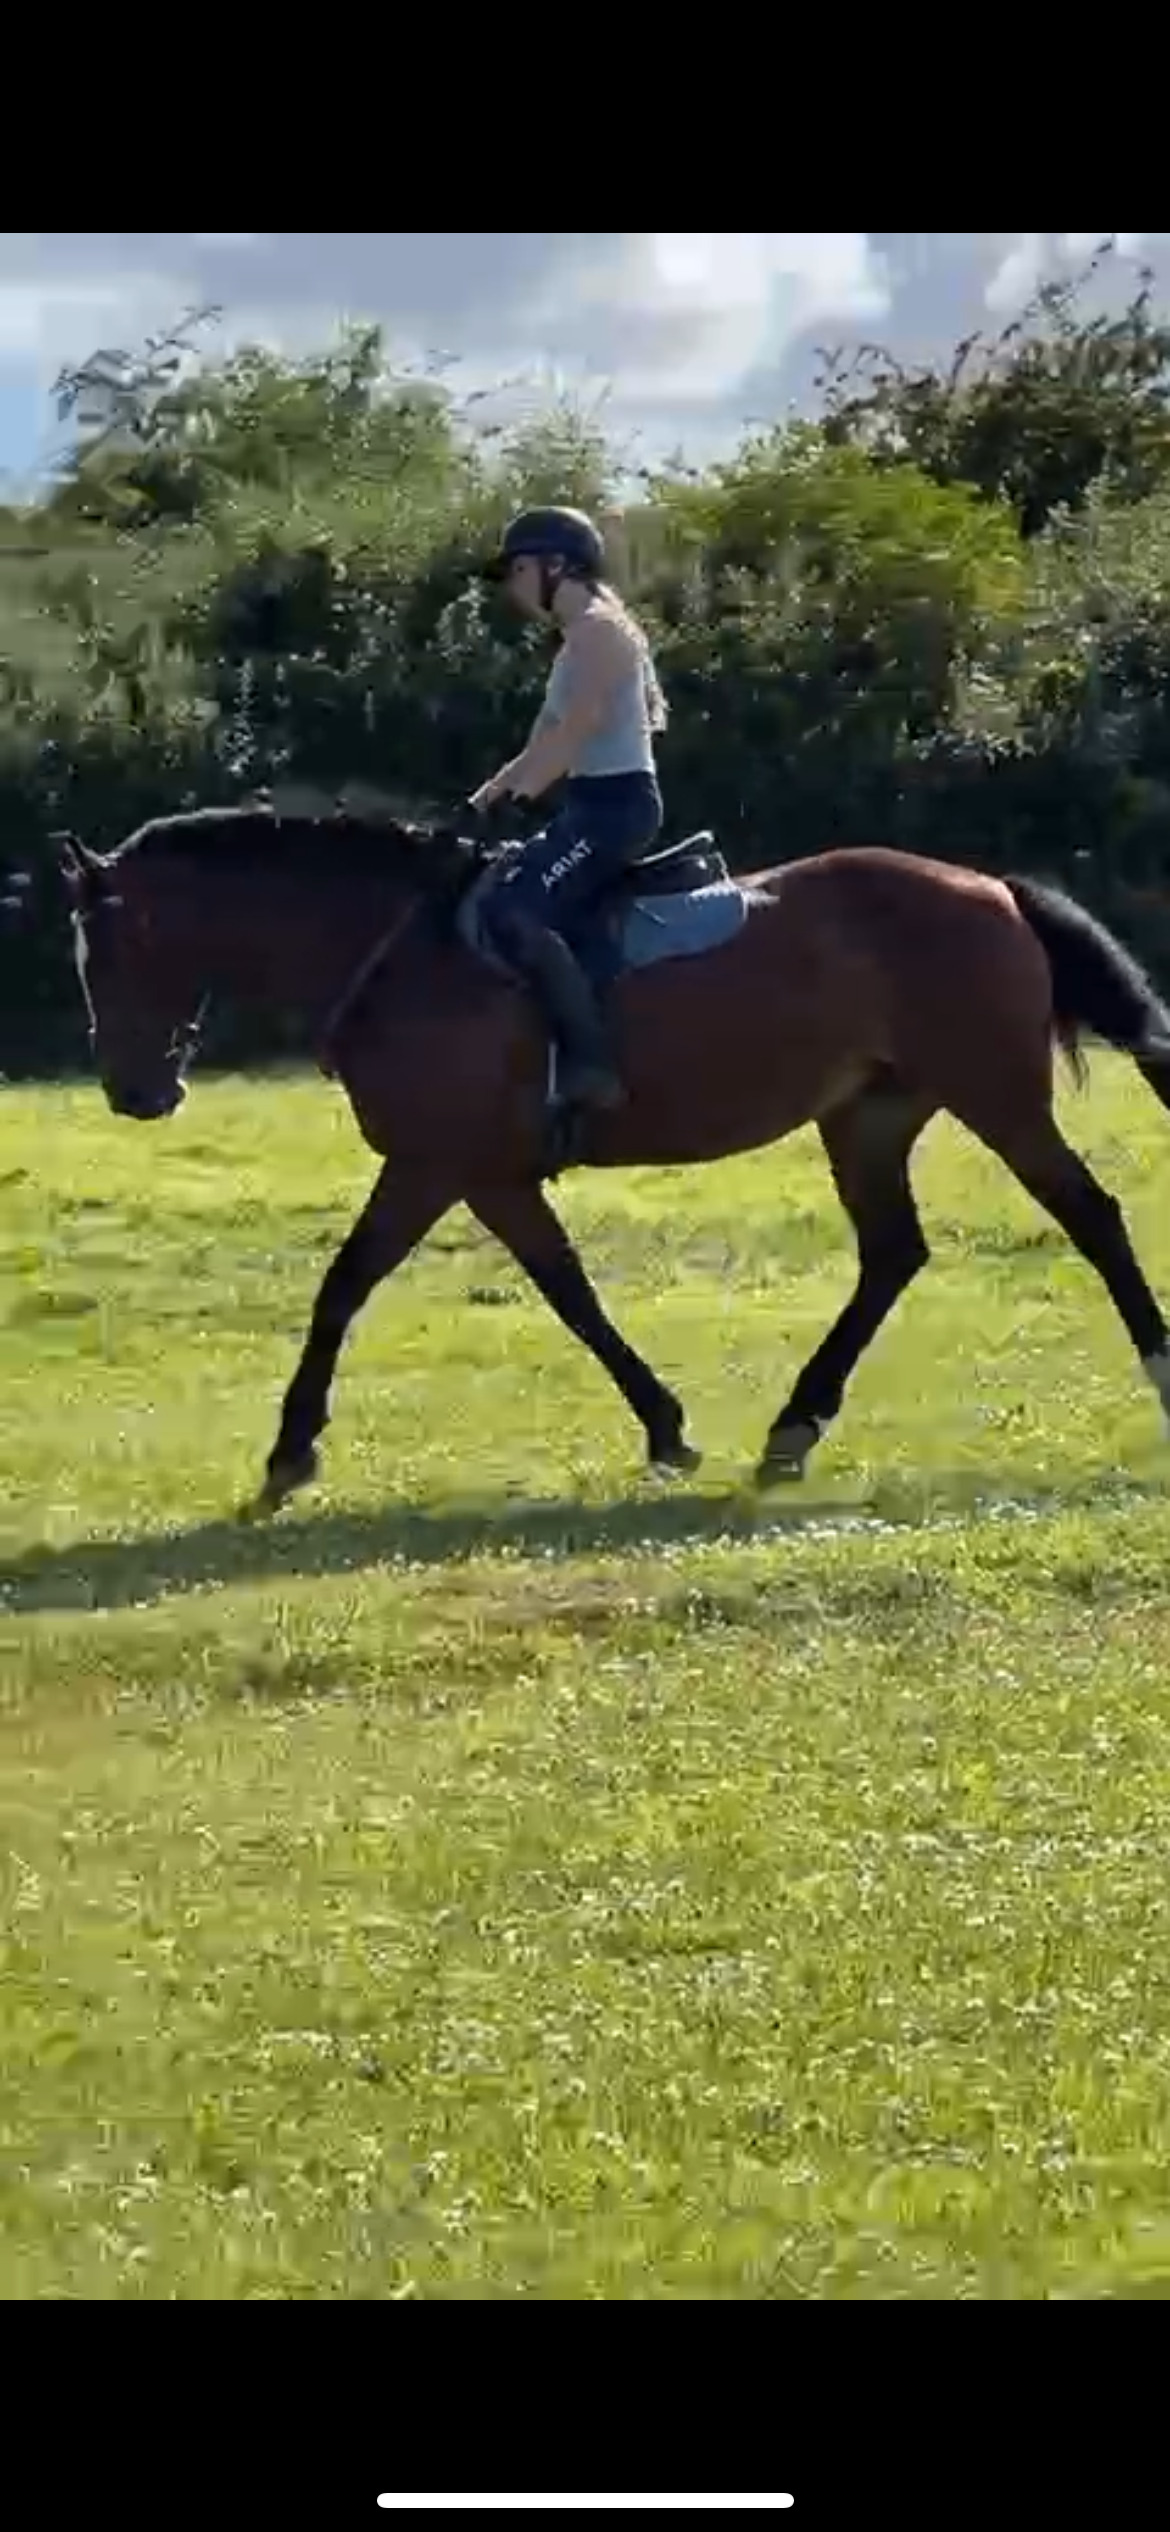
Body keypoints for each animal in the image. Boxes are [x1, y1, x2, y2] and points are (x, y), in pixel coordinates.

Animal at [53, 803, 1170, 1516]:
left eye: (106, 951)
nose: (132, 1093)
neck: (403, 952)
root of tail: (993, 888)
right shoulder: (489, 1178)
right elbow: (569, 1293)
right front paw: (667, 1426)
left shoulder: (436, 1167)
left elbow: (347, 1287)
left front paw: (291, 1451)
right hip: (869, 1117)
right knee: (893, 1254)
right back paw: (795, 1425)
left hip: (995, 1099)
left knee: (1091, 1215)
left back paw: (1158, 1370)